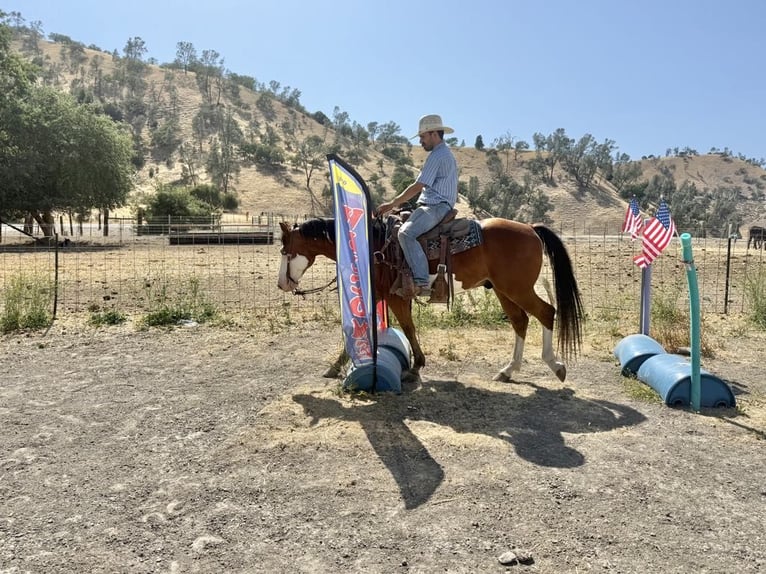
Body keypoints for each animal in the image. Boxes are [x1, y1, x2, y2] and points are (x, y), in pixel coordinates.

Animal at [277, 216, 584, 383]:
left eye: (286, 251)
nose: (282, 284)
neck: (374, 246)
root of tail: (531, 228)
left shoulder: (395, 296)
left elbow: (408, 327)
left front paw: (416, 366)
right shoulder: (382, 295)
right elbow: (362, 326)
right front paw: (337, 364)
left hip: (517, 288)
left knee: (546, 312)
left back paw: (555, 365)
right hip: (502, 290)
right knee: (520, 321)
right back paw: (508, 370)